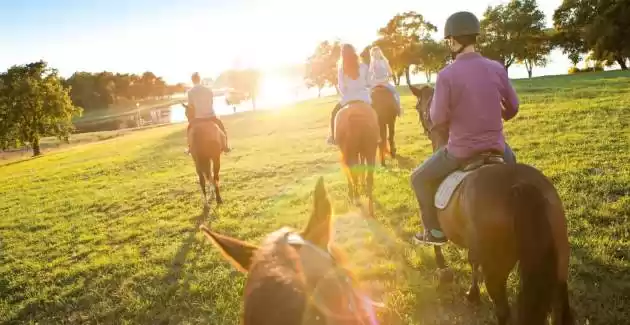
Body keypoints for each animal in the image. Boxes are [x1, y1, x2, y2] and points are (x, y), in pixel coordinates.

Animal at [410, 84, 576, 324]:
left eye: (417, 106)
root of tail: (518, 184)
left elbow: (437, 242)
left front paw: (446, 272)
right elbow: (473, 261)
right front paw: (472, 293)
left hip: (497, 272)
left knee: (503, 312)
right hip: (559, 266)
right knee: (560, 308)